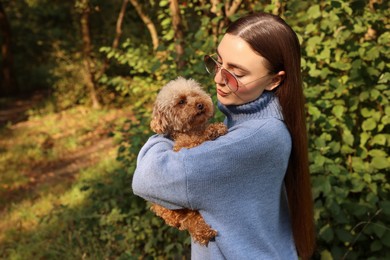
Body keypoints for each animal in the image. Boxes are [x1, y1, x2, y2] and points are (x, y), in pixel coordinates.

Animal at [150, 76, 229, 245]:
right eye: (181, 101)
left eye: (195, 94)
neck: (190, 129)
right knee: (188, 220)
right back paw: (203, 231)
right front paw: (214, 129)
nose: (200, 104)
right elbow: (197, 139)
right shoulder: (182, 147)